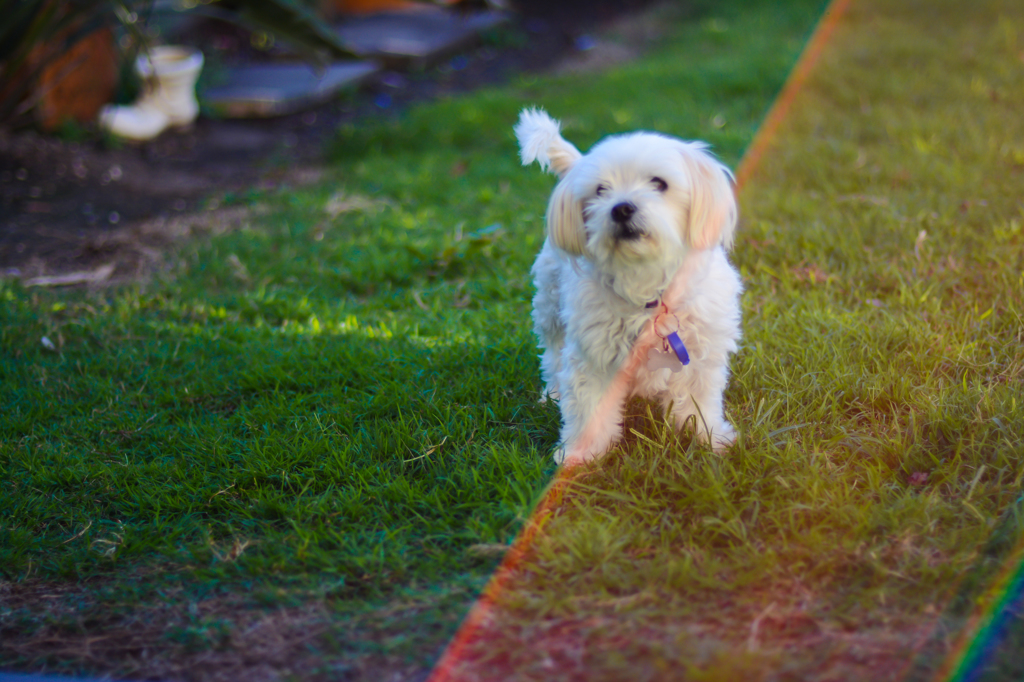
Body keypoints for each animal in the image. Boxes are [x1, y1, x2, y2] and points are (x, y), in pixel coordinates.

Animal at [512, 109, 745, 464]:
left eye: (659, 183)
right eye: (600, 190)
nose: (621, 208)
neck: (646, 283)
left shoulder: (699, 355)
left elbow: (697, 404)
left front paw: (709, 438)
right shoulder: (592, 358)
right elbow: (588, 410)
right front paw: (580, 454)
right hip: (550, 312)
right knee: (552, 356)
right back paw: (552, 393)